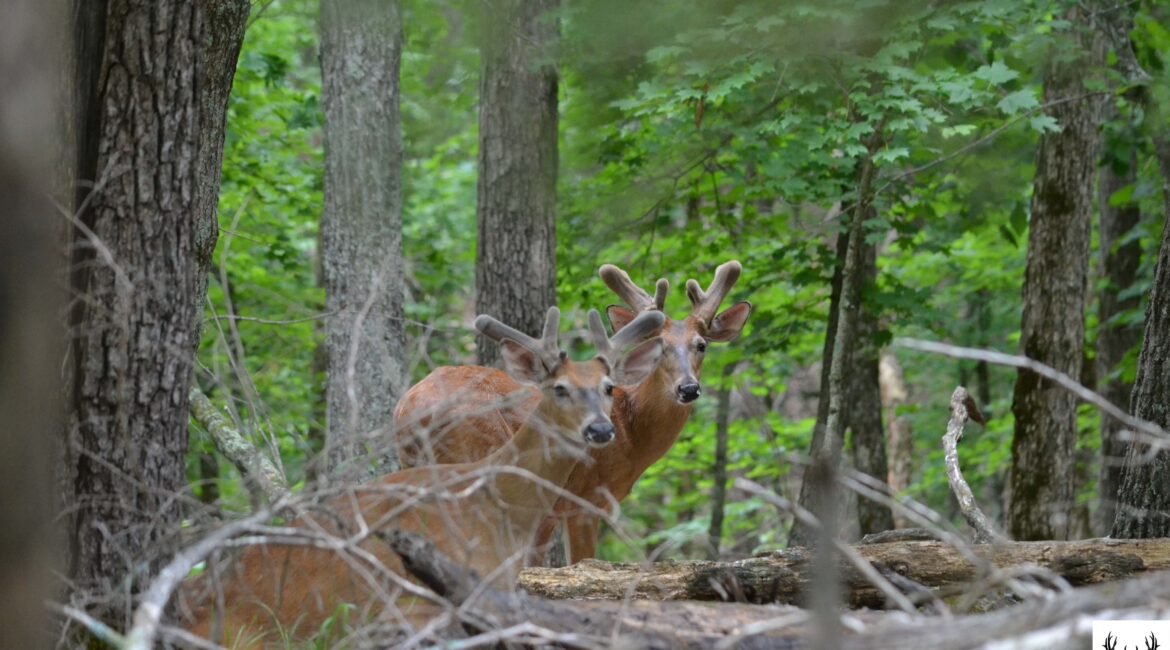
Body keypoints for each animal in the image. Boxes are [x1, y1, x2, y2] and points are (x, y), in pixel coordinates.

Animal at [393, 261, 751, 562]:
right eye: (660, 347)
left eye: (701, 345)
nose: (688, 388)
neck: (630, 434)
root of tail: (410, 407)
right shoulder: (584, 501)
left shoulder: (551, 514)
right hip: (477, 450)